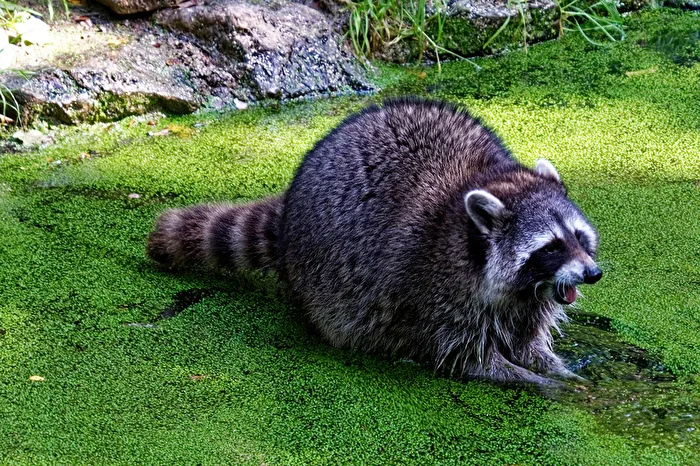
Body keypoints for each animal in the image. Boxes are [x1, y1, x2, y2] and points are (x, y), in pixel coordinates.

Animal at [148, 98, 602, 385]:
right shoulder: (434, 292)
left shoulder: (528, 302)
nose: (593, 273)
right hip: (324, 270)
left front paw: (559, 370)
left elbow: (530, 344)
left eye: (579, 237)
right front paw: (543, 384)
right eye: (551, 247)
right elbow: (468, 359)